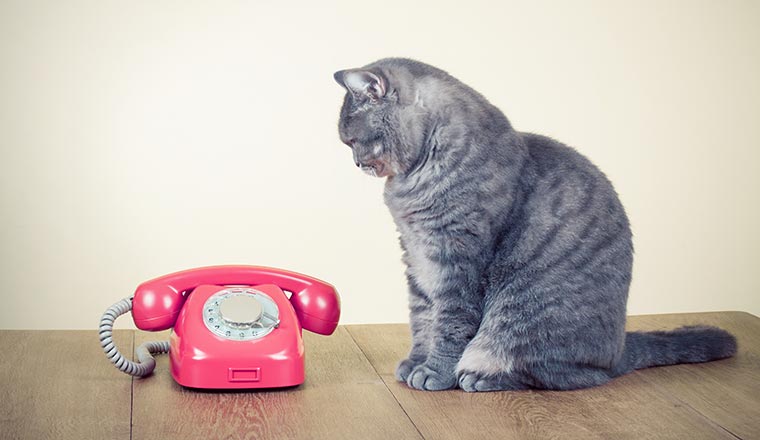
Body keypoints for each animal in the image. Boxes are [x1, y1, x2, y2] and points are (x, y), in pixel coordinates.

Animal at [332, 58, 736, 392]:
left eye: (353, 140)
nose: (356, 163)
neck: (414, 180)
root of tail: (621, 349)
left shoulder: (457, 260)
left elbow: (449, 323)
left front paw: (434, 372)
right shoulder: (417, 258)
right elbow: (422, 317)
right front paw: (416, 362)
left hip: (520, 318)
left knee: (568, 374)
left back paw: (480, 377)